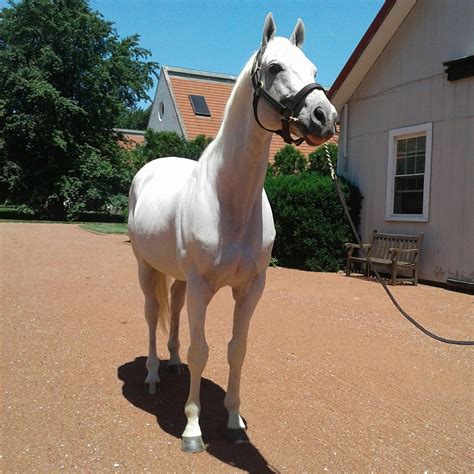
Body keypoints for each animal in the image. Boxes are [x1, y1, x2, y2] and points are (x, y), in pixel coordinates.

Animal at [130, 12, 336, 454]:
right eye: (274, 67)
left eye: (313, 70)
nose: (324, 118)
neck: (229, 200)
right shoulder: (202, 287)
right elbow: (201, 350)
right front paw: (192, 429)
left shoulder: (251, 288)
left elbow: (236, 351)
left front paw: (234, 423)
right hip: (145, 268)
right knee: (152, 315)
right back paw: (153, 375)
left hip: (178, 278)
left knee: (173, 310)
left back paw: (173, 366)